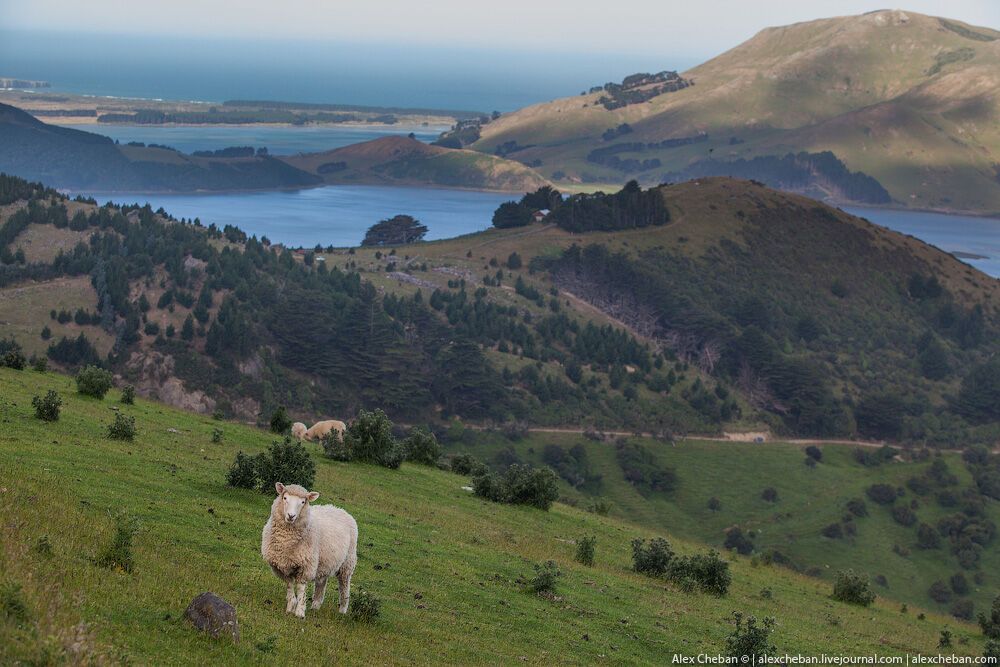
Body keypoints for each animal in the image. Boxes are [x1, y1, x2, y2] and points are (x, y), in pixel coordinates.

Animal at [262, 482, 360, 620]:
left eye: (303, 502)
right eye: (285, 498)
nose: (291, 516)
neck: (287, 542)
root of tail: (339, 508)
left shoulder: (306, 565)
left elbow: (301, 588)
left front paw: (300, 611)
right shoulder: (282, 565)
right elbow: (290, 585)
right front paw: (291, 606)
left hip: (347, 562)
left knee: (344, 585)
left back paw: (342, 609)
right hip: (325, 561)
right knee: (321, 583)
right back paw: (315, 606)